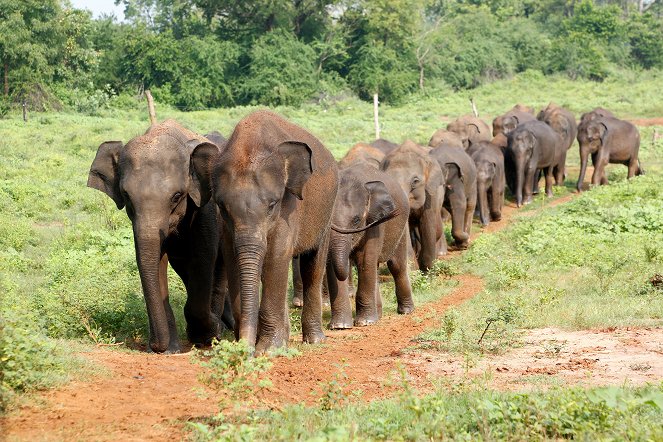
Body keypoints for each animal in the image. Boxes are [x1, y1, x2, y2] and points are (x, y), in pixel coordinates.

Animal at [87, 119, 233, 354]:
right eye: (126, 196)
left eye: (177, 196)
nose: (155, 346)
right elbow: (157, 262)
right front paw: (171, 350)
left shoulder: (206, 207)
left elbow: (203, 257)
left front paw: (206, 335)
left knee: (218, 268)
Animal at [191, 110, 338, 356]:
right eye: (221, 206)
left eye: (272, 204)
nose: (245, 350)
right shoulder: (226, 228)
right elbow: (234, 259)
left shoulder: (289, 208)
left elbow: (276, 257)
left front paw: (268, 350)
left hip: (326, 214)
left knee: (313, 266)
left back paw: (315, 340)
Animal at [328, 162, 416, 328]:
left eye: (356, 220)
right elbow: (329, 263)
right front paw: (340, 326)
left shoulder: (375, 223)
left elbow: (365, 260)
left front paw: (365, 322)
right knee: (375, 267)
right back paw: (379, 315)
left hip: (401, 228)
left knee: (396, 266)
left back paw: (406, 311)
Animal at [382, 140, 444, 272]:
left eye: (415, 181)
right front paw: (414, 269)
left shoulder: (431, 194)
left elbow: (428, 223)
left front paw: (427, 270)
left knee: (437, 229)